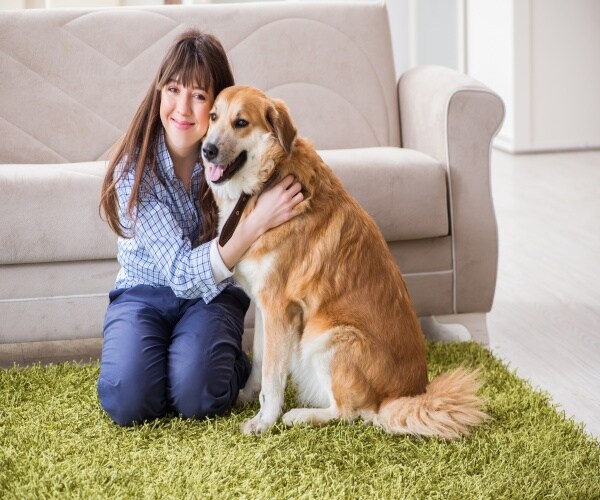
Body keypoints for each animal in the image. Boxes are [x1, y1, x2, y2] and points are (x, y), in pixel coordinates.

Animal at [202, 86, 488, 438]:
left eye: (241, 122)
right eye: (213, 116)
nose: (207, 150)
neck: (266, 181)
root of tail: (402, 395)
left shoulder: (279, 307)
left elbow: (273, 375)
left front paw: (264, 420)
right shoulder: (265, 306)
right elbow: (259, 362)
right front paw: (246, 396)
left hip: (328, 337)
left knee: (350, 412)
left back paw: (301, 415)